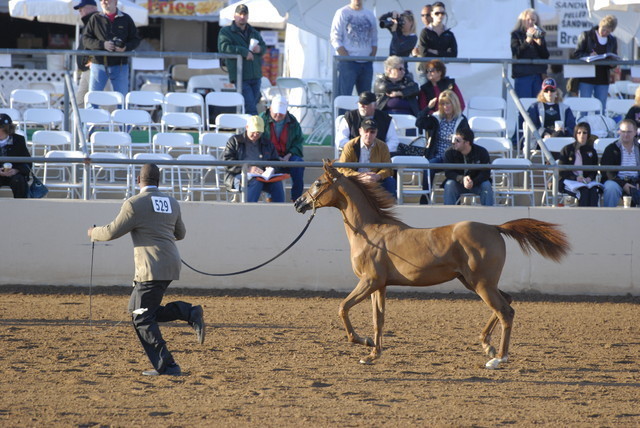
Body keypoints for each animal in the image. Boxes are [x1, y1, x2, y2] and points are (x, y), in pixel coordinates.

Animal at [294, 160, 570, 369]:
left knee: (506, 312)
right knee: (508, 302)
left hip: (482, 284)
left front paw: (363, 342)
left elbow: (343, 308)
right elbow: (378, 319)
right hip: (474, 282)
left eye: (318, 183)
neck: (370, 231)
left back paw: (498, 359)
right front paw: (373, 353)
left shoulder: (369, 281)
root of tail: (494, 227)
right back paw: (487, 345)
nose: (298, 203)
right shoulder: (379, 285)